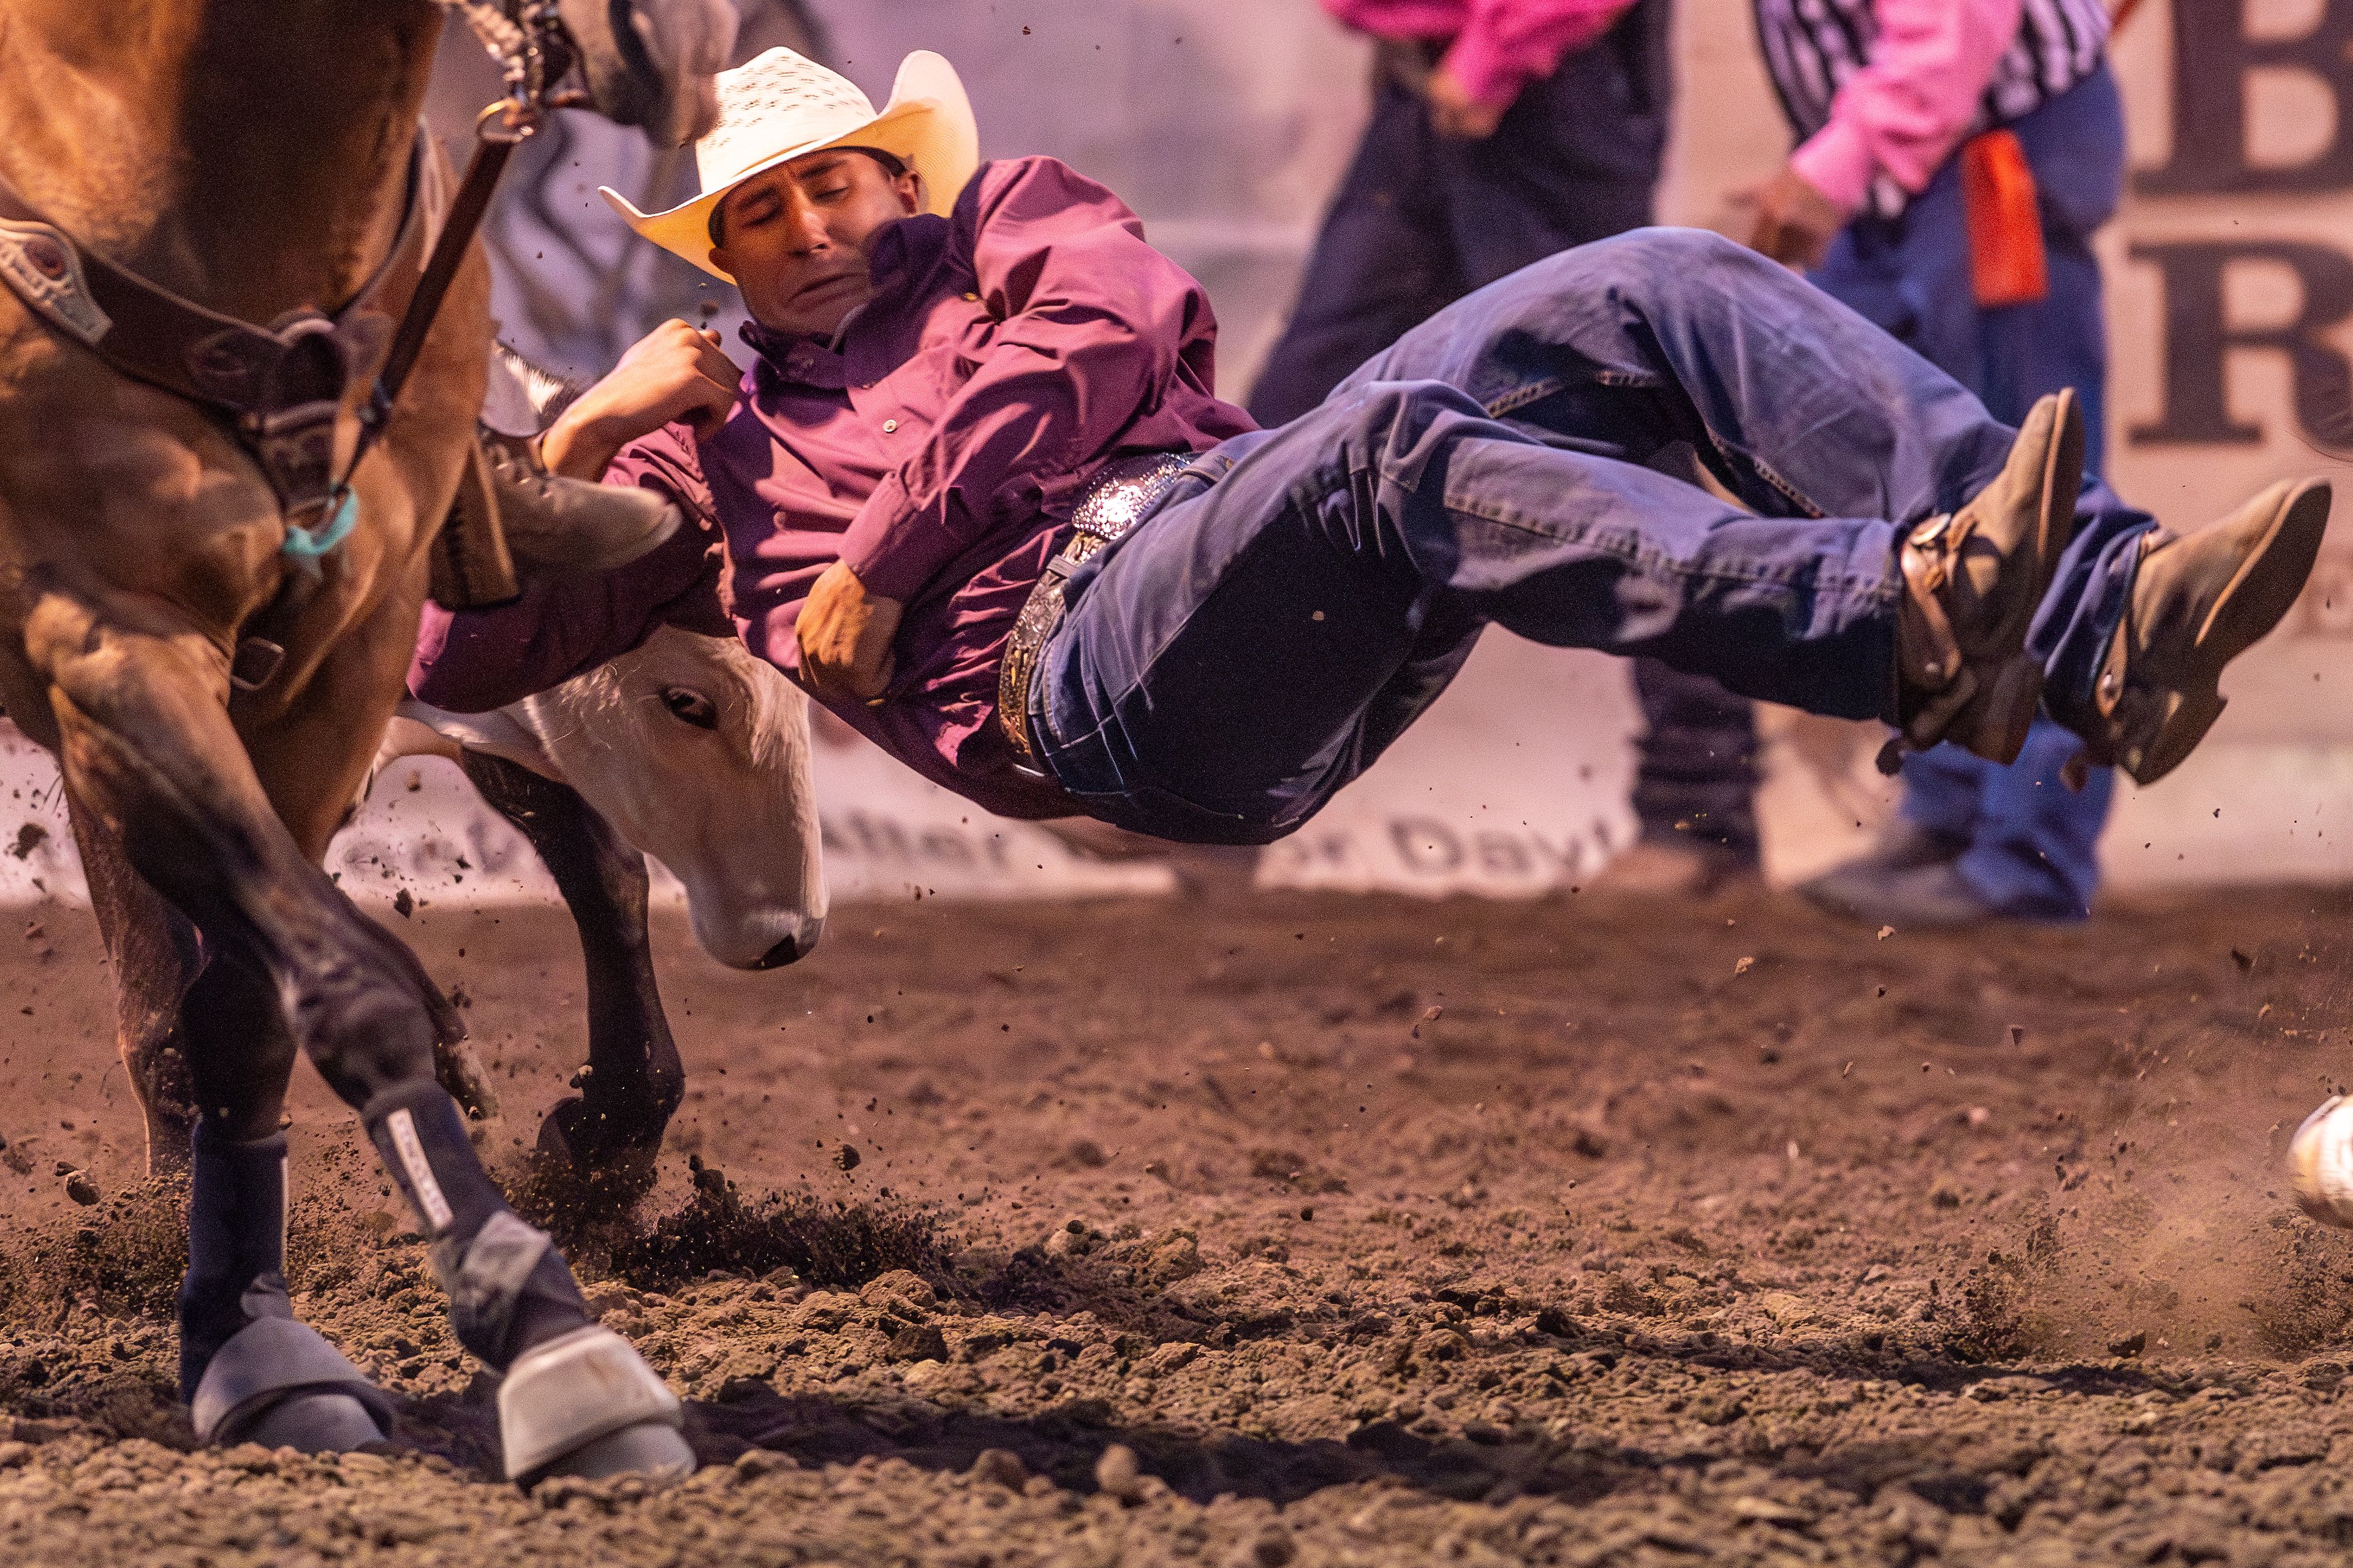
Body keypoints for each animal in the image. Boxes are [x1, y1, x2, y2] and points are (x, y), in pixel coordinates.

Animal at [0, 0, 724, 1469]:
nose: (676, 52)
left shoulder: (347, 662)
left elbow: (254, 1008)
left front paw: (248, 1335)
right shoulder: (100, 643)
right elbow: (324, 984)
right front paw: (550, 1336)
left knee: (585, 857)